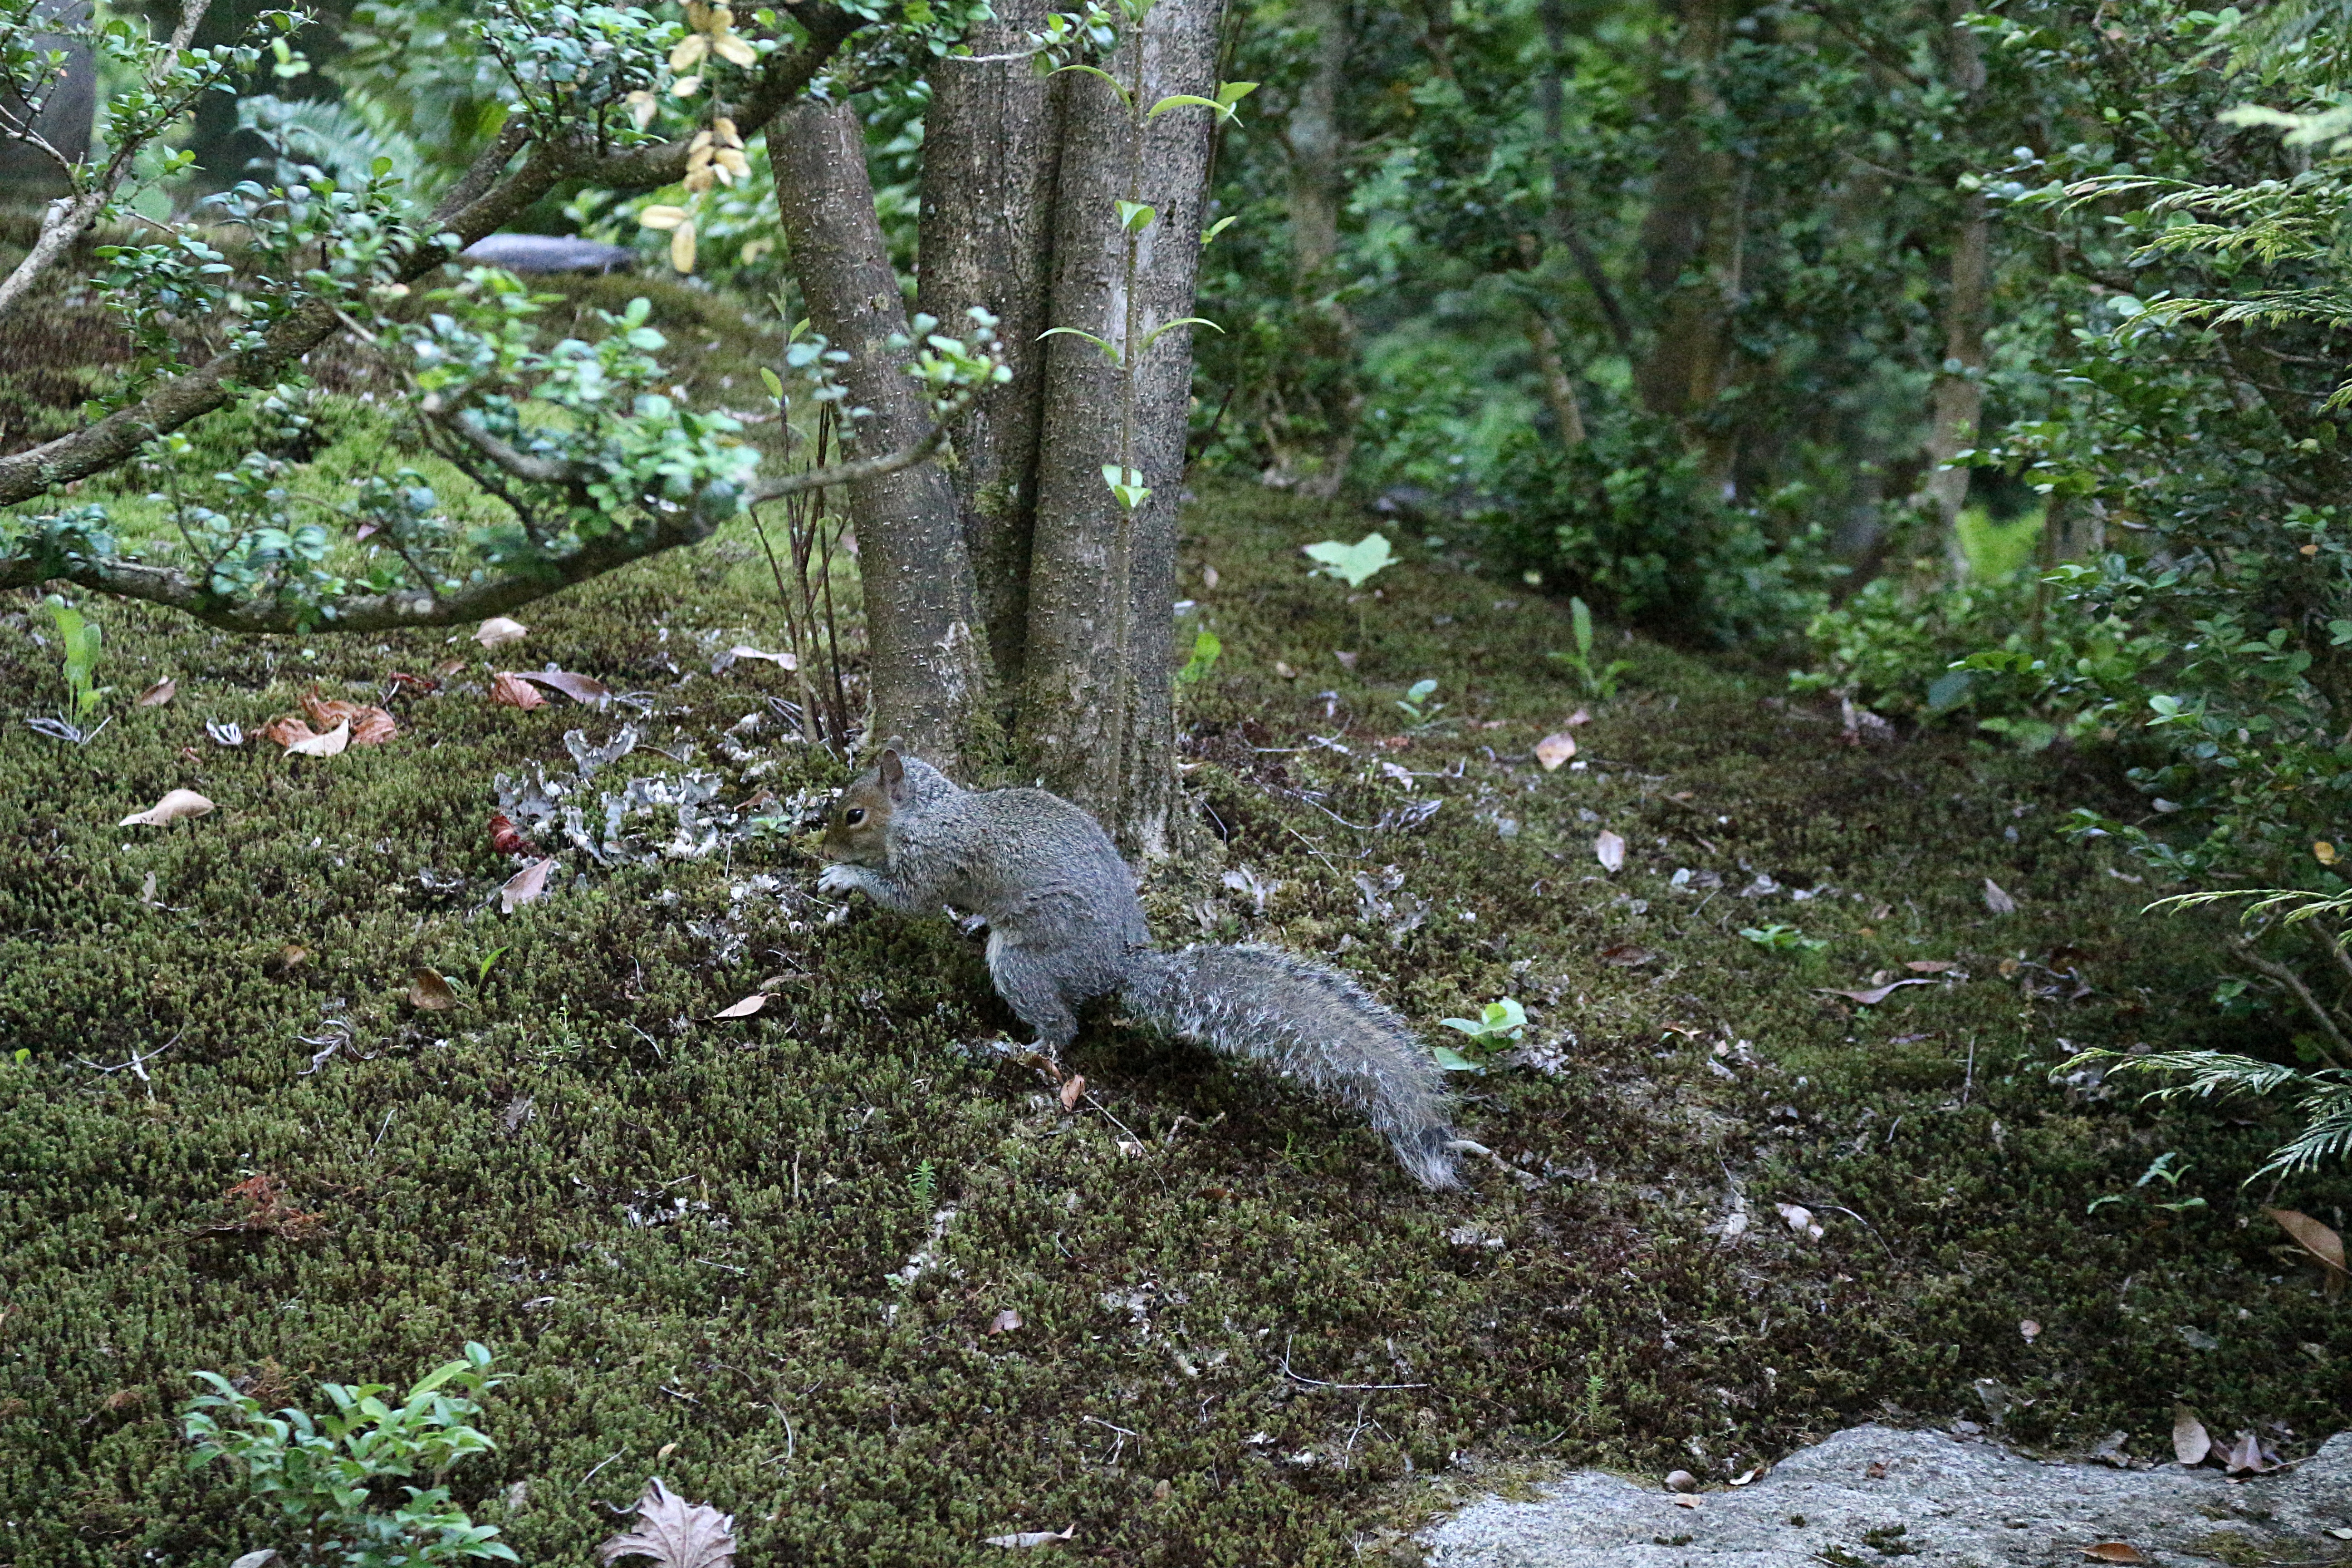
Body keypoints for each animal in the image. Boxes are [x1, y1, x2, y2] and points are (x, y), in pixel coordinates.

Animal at [815, 745, 1460, 1189]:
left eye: (854, 814)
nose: (823, 846)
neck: (930, 812)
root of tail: (1115, 969)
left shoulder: (935, 861)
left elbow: (911, 900)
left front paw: (844, 876)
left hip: (1025, 961)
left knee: (1061, 1030)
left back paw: (1014, 1049)